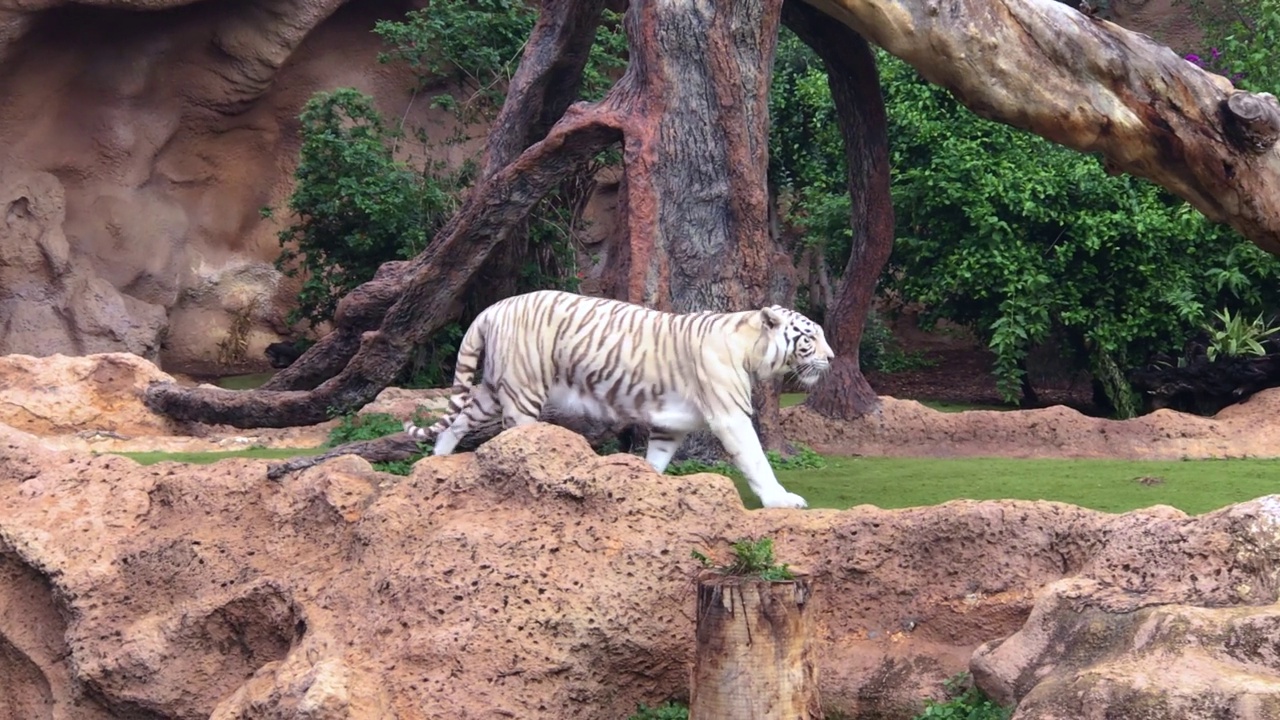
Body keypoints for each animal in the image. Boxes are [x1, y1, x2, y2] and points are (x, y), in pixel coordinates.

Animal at [404, 288, 834, 507]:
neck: (750, 348)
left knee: (459, 419)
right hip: (523, 391)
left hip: (494, 389)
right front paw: (782, 500)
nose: (831, 358)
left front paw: (645, 485)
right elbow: (756, 460)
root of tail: (491, 308)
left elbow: (657, 459)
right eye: (809, 337)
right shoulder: (730, 414)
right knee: (517, 439)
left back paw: (433, 466)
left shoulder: (669, 425)